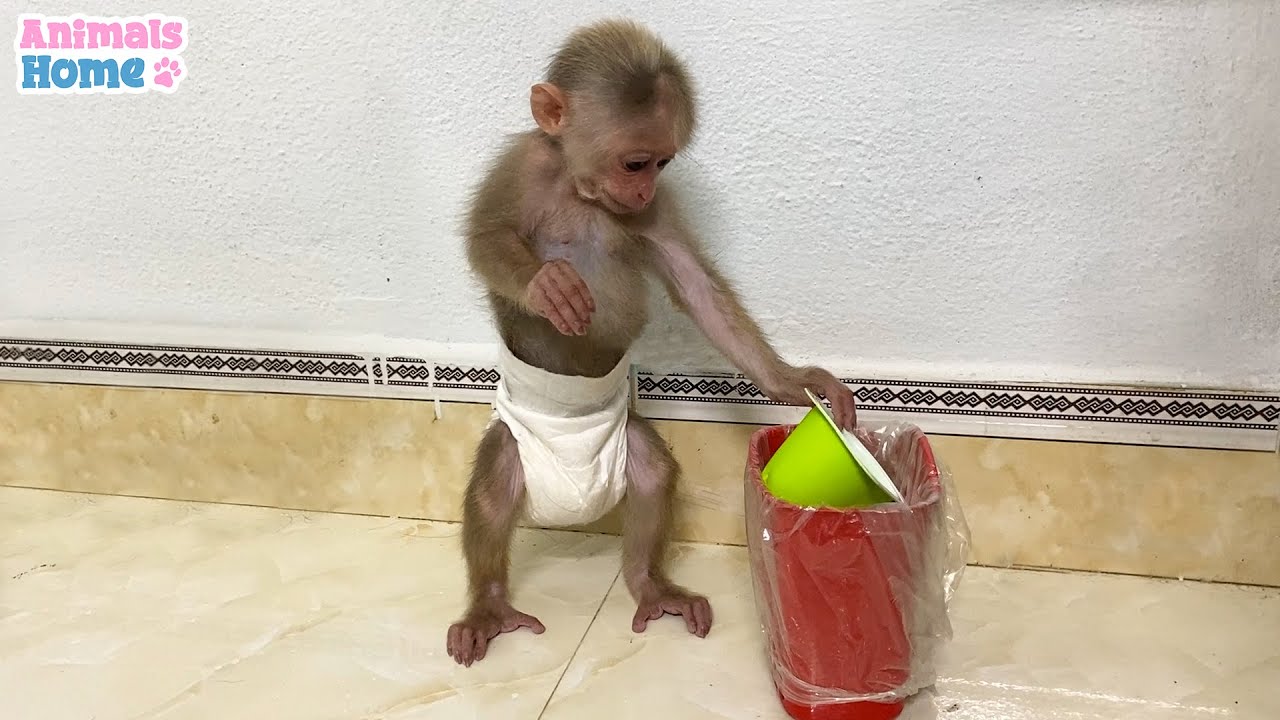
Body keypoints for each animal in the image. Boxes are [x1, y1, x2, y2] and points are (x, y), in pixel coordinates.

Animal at [446, 18, 858, 667]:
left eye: (661, 164)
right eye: (636, 162)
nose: (641, 194)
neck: (579, 191)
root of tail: (573, 509)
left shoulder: (658, 211)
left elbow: (697, 288)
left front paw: (791, 382)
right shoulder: (520, 167)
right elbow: (487, 238)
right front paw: (546, 284)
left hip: (624, 446)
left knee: (653, 475)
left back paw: (649, 583)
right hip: (517, 446)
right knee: (492, 492)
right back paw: (488, 606)